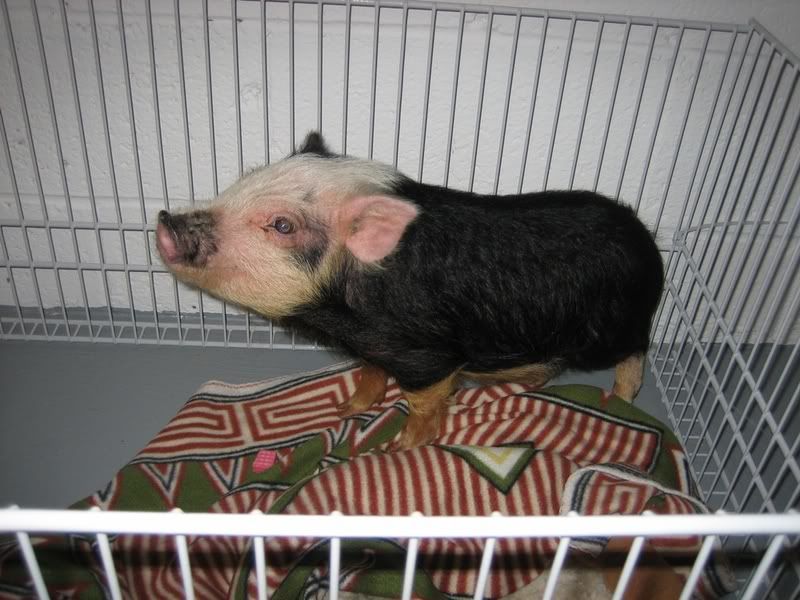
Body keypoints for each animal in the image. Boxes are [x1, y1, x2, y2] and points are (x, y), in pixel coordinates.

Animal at [156, 131, 664, 448]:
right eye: (244, 181)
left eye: (282, 225)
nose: (165, 222)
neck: (342, 317)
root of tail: (644, 236)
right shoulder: (373, 346)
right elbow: (369, 374)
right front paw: (345, 409)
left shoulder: (426, 355)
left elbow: (423, 400)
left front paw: (399, 446)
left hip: (612, 329)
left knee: (635, 354)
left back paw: (616, 402)